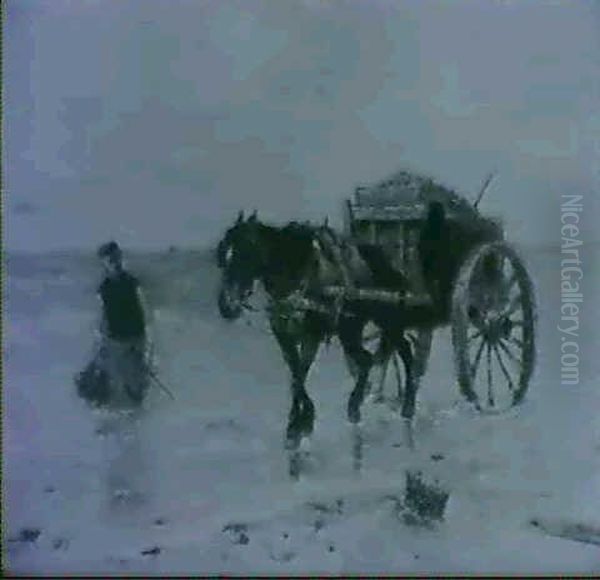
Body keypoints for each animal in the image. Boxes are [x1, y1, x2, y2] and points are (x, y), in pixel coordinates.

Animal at [217, 211, 422, 474]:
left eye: (245, 253)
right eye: (223, 255)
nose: (226, 305)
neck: (294, 272)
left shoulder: (310, 335)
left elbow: (300, 373)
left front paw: (300, 424)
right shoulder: (284, 335)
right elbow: (296, 375)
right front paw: (299, 422)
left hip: (380, 322)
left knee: (400, 352)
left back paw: (404, 404)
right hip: (352, 328)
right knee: (372, 359)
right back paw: (363, 404)